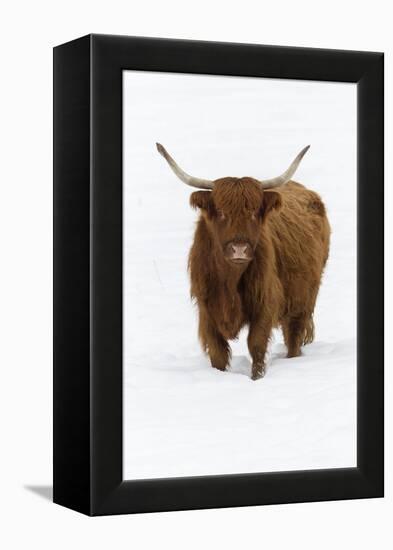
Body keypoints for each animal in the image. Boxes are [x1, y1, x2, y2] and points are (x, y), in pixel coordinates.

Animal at [155, 144, 328, 382]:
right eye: (220, 212)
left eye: (254, 212)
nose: (239, 249)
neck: (229, 280)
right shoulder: (207, 310)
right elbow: (217, 351)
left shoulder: (264, 302)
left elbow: (256, 344)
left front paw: (256, 378)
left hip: (303, 300)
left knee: (293, 336)